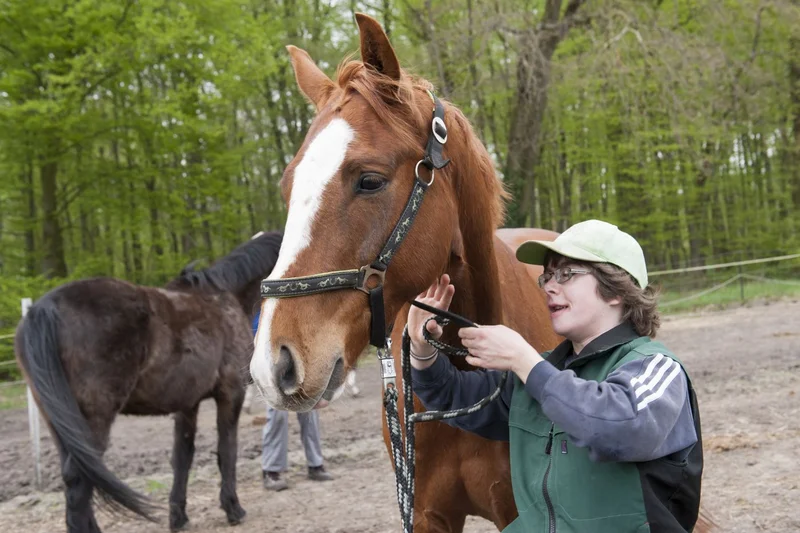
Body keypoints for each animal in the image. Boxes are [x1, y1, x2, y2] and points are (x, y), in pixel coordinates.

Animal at [15, 231, 282, 533]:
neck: (225, 297)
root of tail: (44, 309)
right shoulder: (230, 394)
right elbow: (226, 451)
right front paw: (233, 508)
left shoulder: (187, 404)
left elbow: (182, 457)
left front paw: (178, 517)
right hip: (93, 419)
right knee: (80, 478)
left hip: (60, 425)